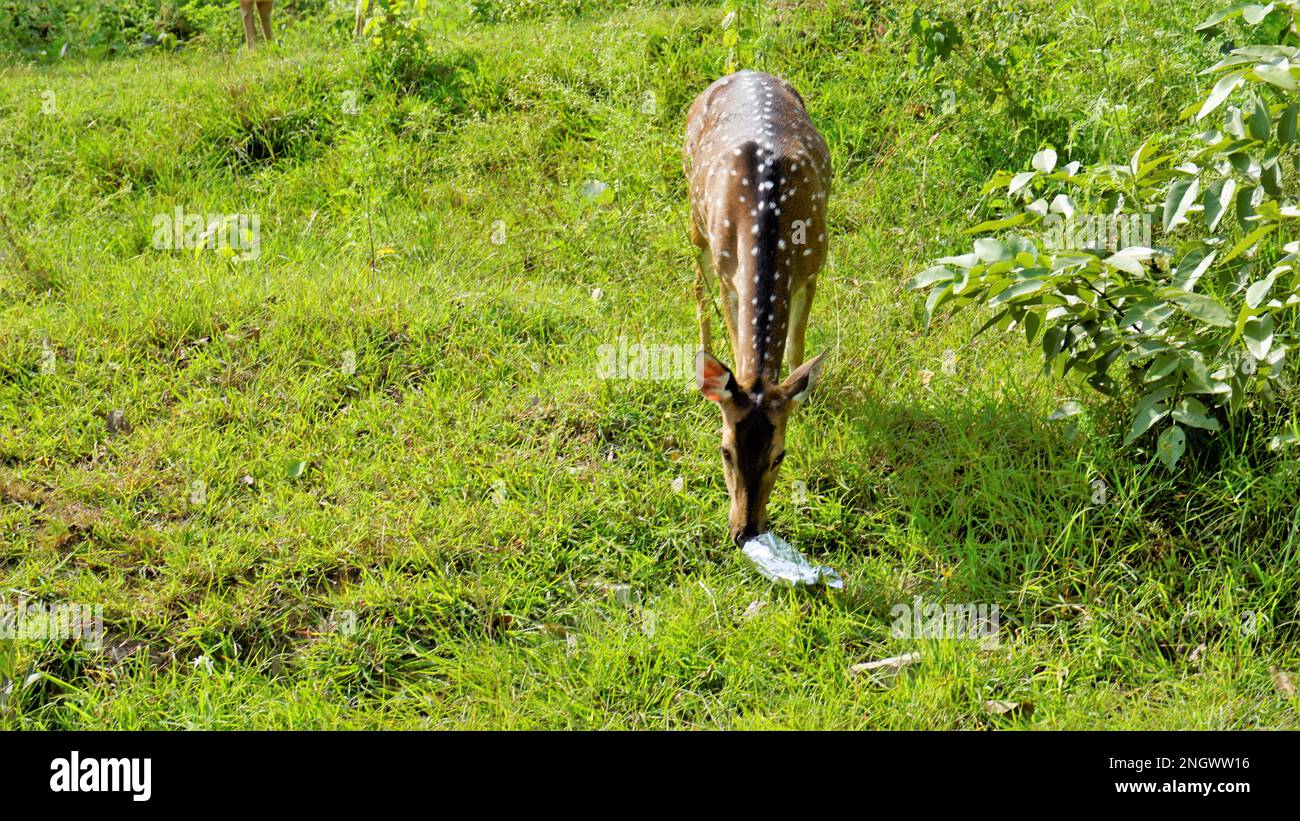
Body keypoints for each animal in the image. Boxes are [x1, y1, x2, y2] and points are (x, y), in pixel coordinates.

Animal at [681, 70, 832, 545]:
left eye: (780, 455)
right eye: (725, 450)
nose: (745, 530)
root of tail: (744, 72)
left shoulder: (814, 265)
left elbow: (797, 348)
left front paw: (806, 395)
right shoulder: (729, 277)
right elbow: (738, 344)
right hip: (695, 219)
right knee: (696, 281)